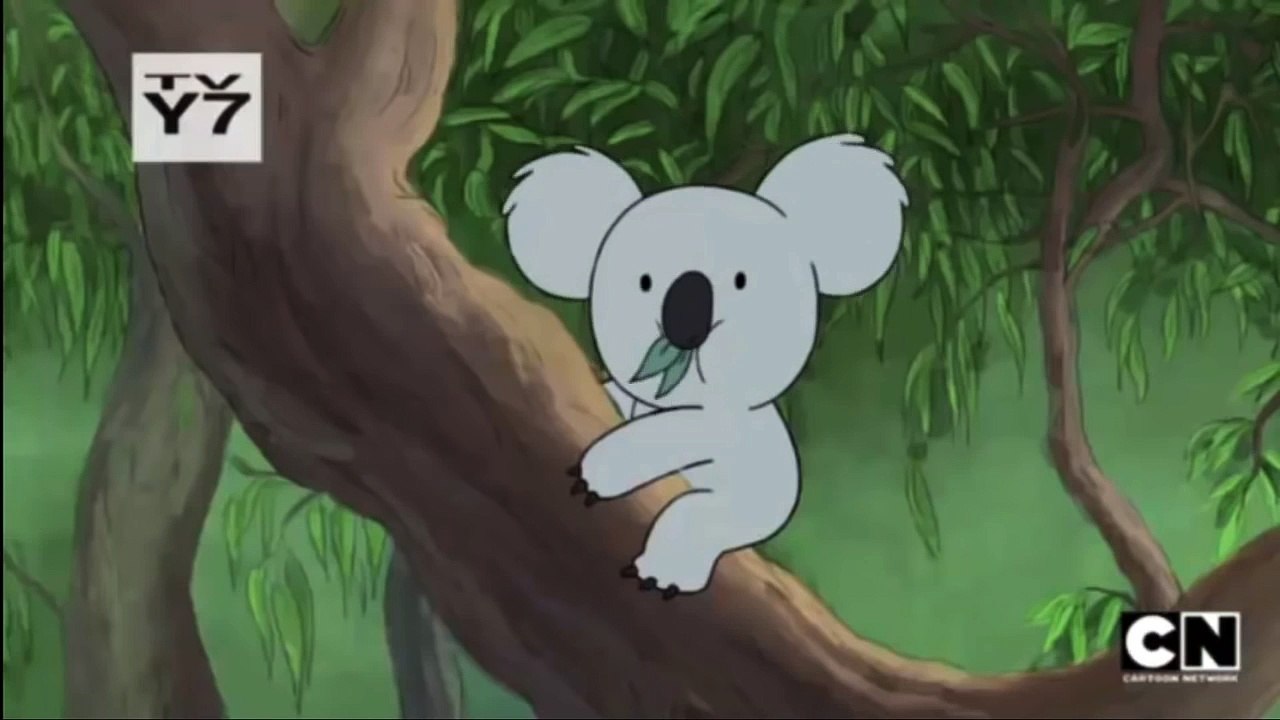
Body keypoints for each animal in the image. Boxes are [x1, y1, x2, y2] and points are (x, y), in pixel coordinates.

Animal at [501, 133, 909, 598]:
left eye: (741, 279)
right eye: (644, 281)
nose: (686, 319)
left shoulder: (725, 425)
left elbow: (688, 430)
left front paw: (596, 471)